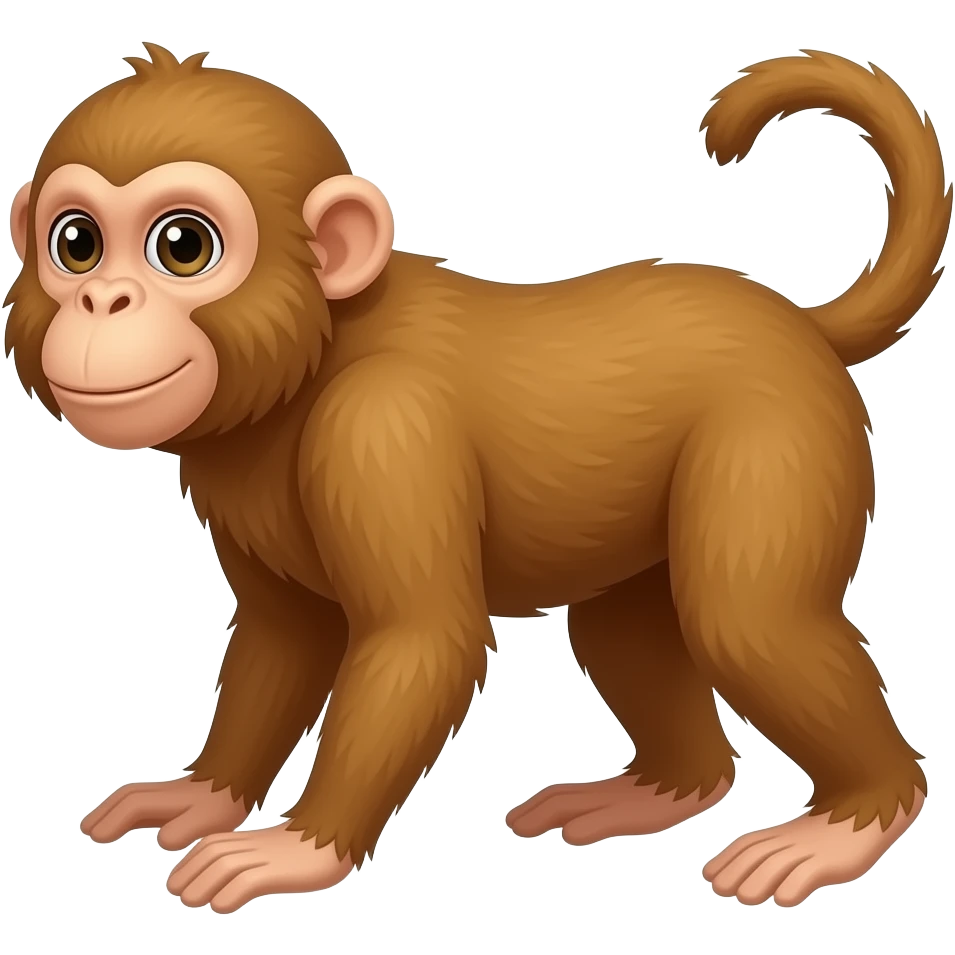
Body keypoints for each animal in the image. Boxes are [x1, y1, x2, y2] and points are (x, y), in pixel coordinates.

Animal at [4, 44, 947, 913]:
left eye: (183, 246)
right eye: (77, 243)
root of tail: (800, 325)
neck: (310, 357)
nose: (102, 301)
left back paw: (854, 816)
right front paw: (203, 794)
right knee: (624, 632)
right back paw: (660, 789)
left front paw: (298, 849)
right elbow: (284, 636)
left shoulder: (382, 431)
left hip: (778, 432)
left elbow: (421, 639)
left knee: (746, 619)